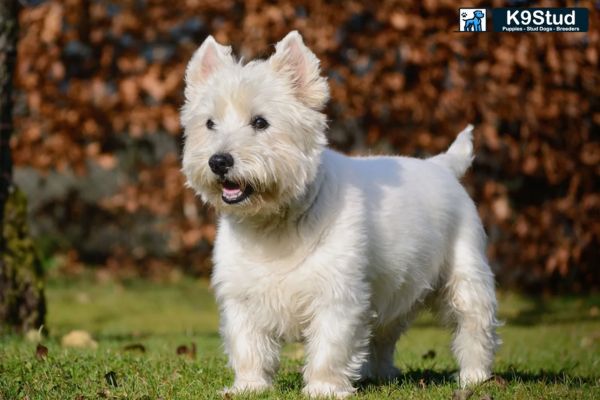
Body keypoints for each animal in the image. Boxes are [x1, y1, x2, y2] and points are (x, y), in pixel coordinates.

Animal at [180, 30, 500, 396]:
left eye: (260, 122)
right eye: (209, 123)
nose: (219, 161)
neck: (273, 223)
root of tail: (442, 165)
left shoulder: (338, 293)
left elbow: (329, 345)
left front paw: (323, 389)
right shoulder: (241, 296)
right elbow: (248, 345)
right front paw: (249, 387)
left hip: (465, 272)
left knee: (474, 325)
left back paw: (473, 377)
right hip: (395, 287)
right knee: (385, 334)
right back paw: (379, 374)